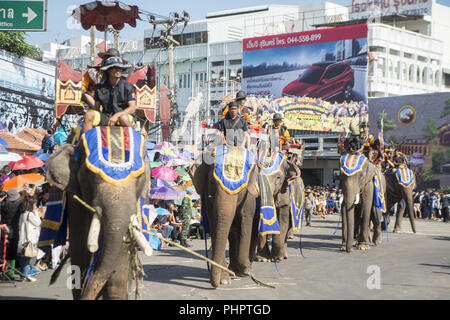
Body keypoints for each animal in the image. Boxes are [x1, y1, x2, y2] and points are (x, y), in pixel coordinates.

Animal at [188, 146, 262, 288]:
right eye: (212, 182)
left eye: (241, 187)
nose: (215, 285)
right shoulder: (208, 200)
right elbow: (215, 226)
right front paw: (224, 280)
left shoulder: (249, 199)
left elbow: (245, 223)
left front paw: (243, 269)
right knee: (232, 236)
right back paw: (234, 269)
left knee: (252, 234)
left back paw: (245, 269)